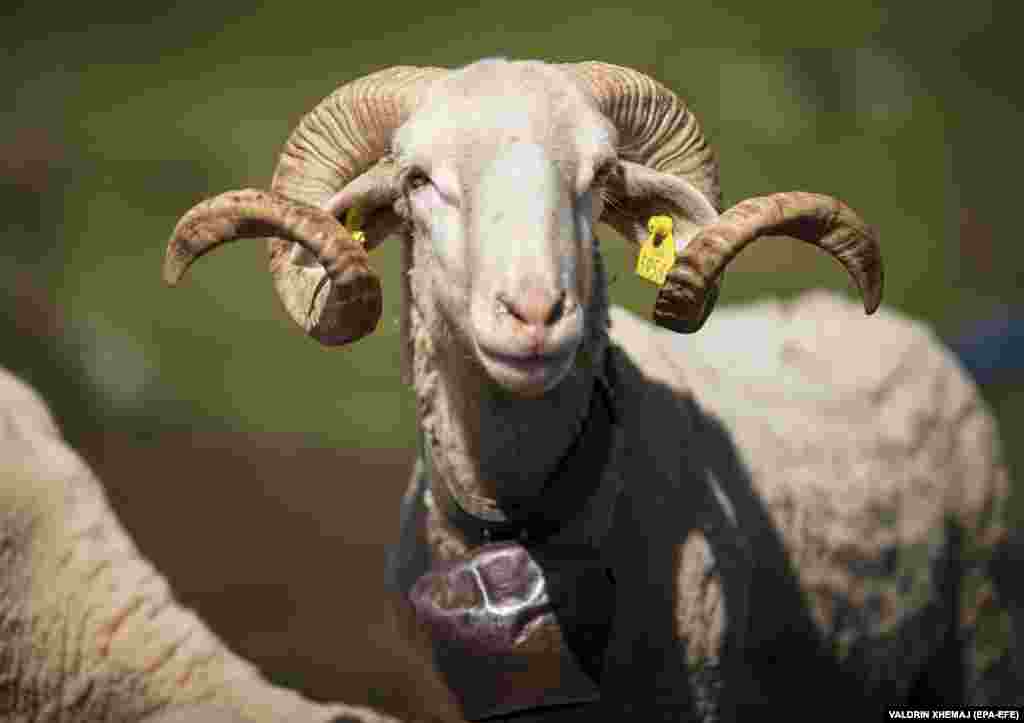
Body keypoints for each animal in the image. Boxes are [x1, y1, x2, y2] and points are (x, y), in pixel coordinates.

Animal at [163, 59, 1011, 716]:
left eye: (600, 177)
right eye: (417, 180)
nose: (535, 313)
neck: (518, 522)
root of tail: (877, 321)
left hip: (986, 623)